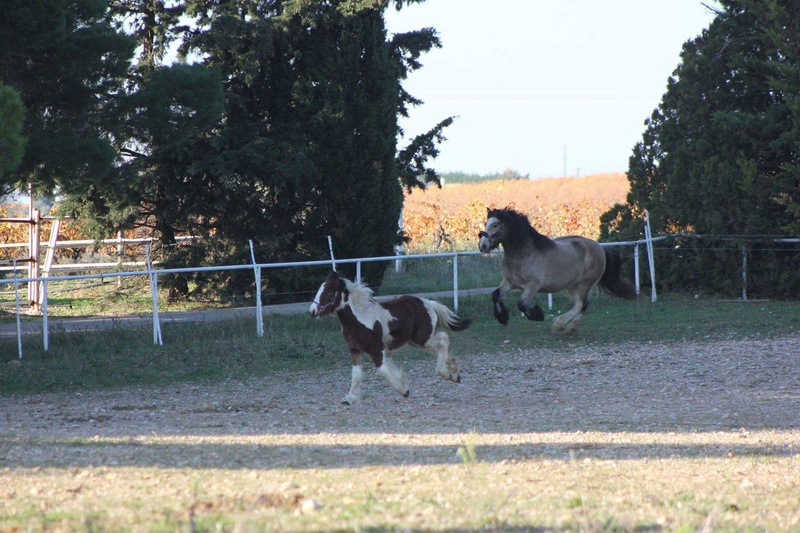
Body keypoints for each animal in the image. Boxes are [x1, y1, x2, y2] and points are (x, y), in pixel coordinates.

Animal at [306, 270, 468, 404]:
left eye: (328, 291)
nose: (312, 311)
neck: (361, 317)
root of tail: (428, 303)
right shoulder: (355, 350)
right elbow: (356, 374)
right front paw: (349, 398)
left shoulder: (376, 349)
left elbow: (382, 371)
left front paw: (404, 390)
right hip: (416, 342)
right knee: (440, 346)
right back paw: (453, 372)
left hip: (423, 339)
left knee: (443, 339)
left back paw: (446, 373)